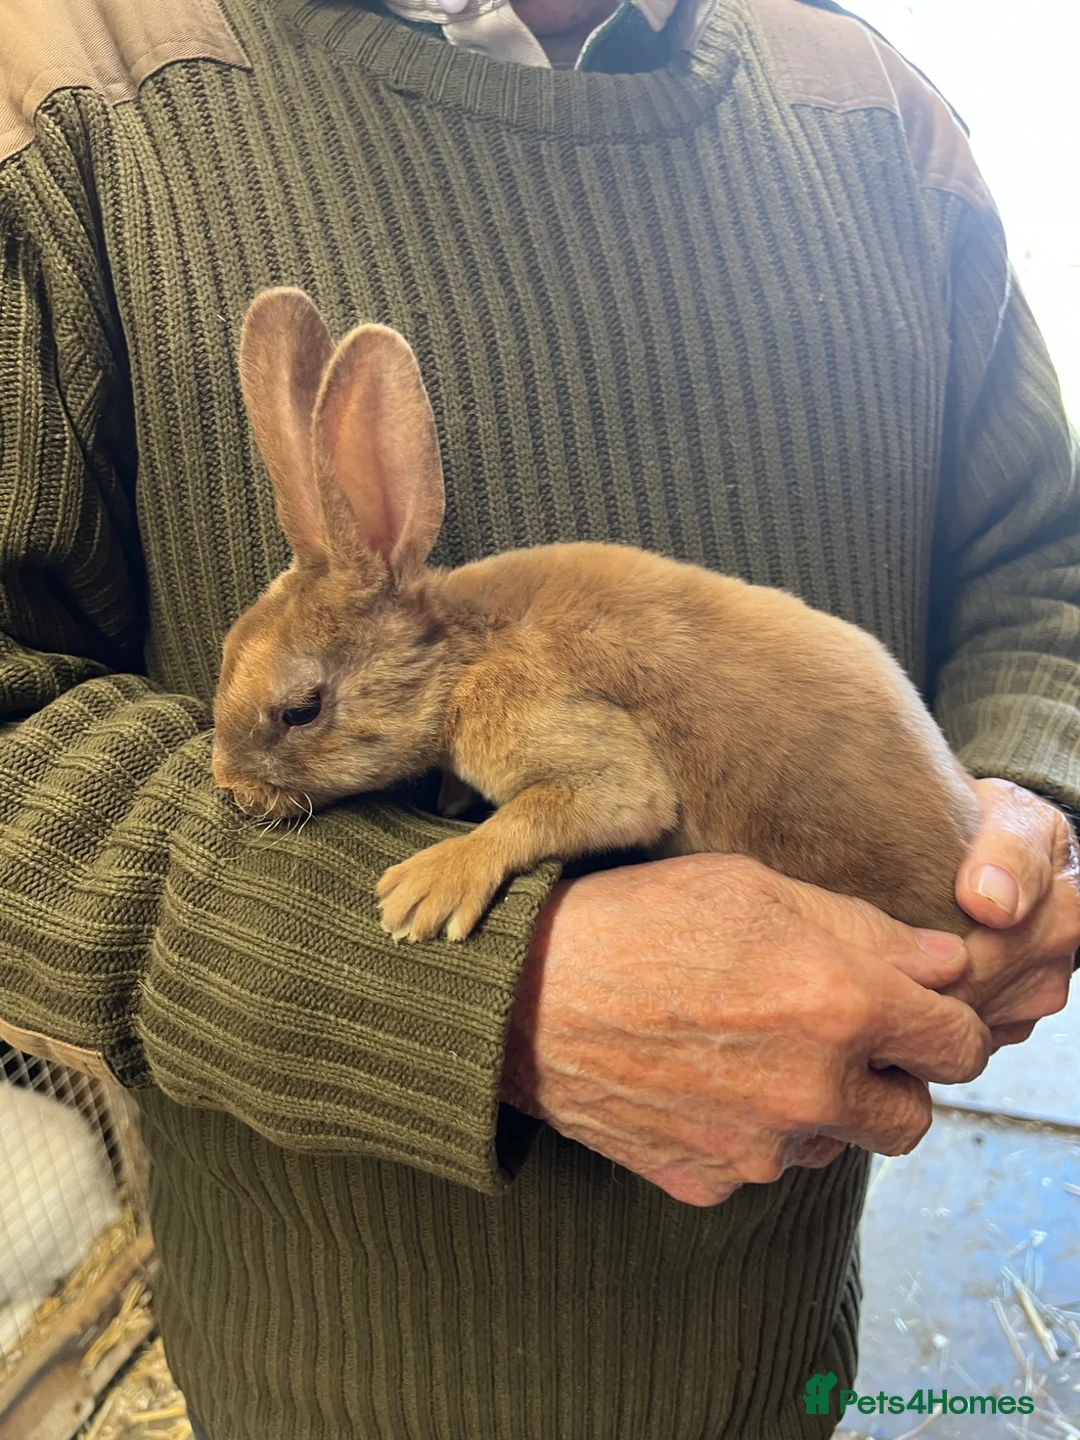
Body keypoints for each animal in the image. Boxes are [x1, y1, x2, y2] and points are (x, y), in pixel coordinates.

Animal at [212, 287, 980, 944]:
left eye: (301, 711)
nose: (233, 791)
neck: (462, 662)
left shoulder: (567, 733)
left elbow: (574, 809)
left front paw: (428, 889)